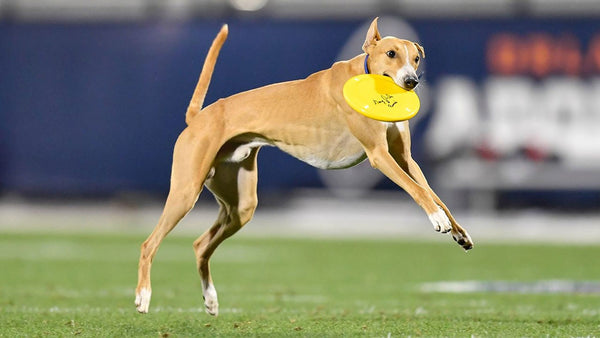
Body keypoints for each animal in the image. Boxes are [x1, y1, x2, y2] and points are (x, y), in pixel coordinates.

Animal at [135, 18, 474, 316]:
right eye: (391, 54)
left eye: (416, 59)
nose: (411, 81)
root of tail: (199, 117)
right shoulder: (379, 155)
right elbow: (419, 192)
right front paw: (437, 220)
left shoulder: (405, 159)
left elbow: (434, 195)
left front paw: (458, 231)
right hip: (185, 193)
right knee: (149, 244)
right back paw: (143, 296)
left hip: (241, 206)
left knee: (200, 246)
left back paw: (210, 299)